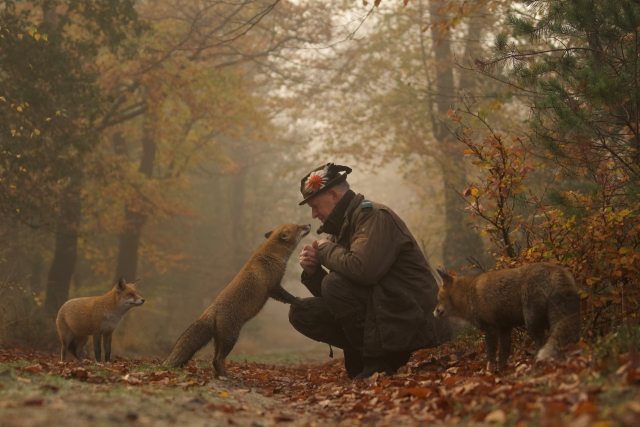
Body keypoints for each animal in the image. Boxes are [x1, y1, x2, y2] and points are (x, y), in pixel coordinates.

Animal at [164, 222, 312, 376]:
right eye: (298, 227)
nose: (309, 224)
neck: (271, 255)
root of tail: (210, 310)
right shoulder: (274, 286)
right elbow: (290, 298)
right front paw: (302, 303)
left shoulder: (272, 291)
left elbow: (287, 299)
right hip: (231, 338)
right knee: (217, 359)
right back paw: (224, 376)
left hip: (220, 340)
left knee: (215, 359)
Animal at [436, 262, 580, 370]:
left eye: (439, 298)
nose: (434, 312)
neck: (468, 295)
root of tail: (556, 269)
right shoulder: (505, 328)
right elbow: (503, 354)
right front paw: (503, 370)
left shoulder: (491, 328)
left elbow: (490, 356)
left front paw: (489, 372)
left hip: (532, 322)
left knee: (541, 341)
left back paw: (536, 362)